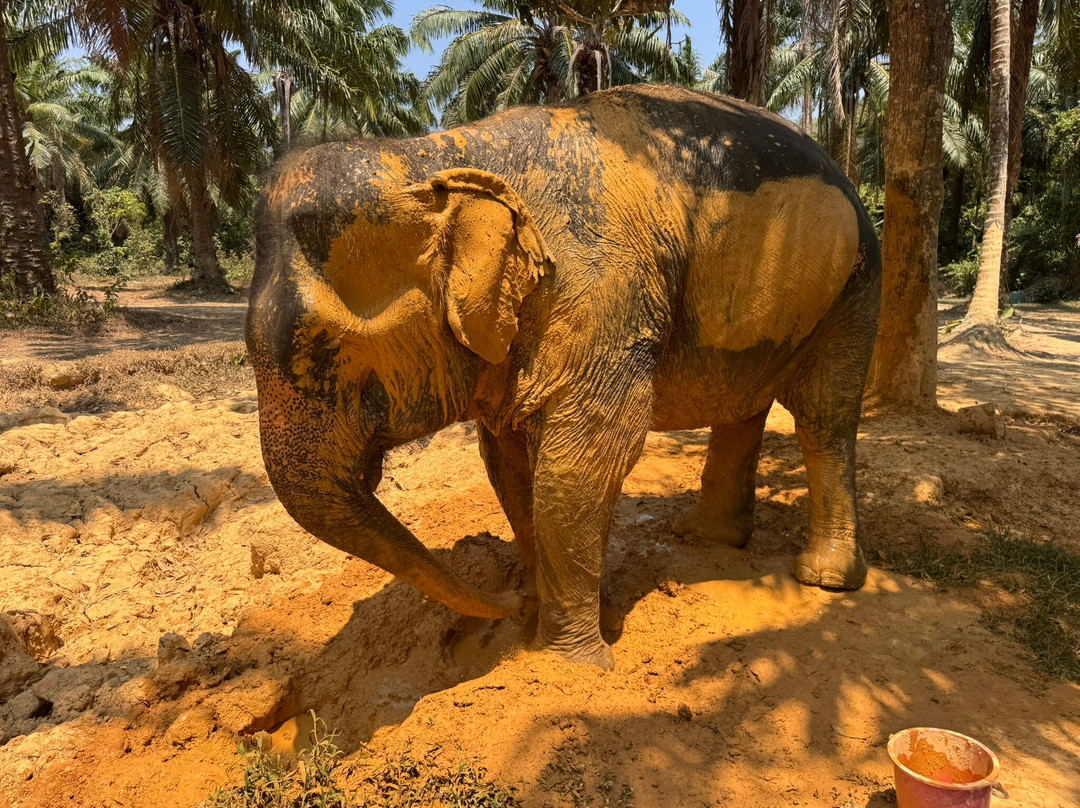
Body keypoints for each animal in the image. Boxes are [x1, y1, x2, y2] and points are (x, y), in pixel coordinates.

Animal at [246, 85, 881, 669]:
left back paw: (823, 578)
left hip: (856, 283)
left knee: (823, 418)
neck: (436, 153)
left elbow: (584, 456)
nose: (505, 607)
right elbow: (506, 459)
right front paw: (547, 609)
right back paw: (709, 539)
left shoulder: (600, 291)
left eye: (322, 348)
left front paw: (565, 662)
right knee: (742, 406)